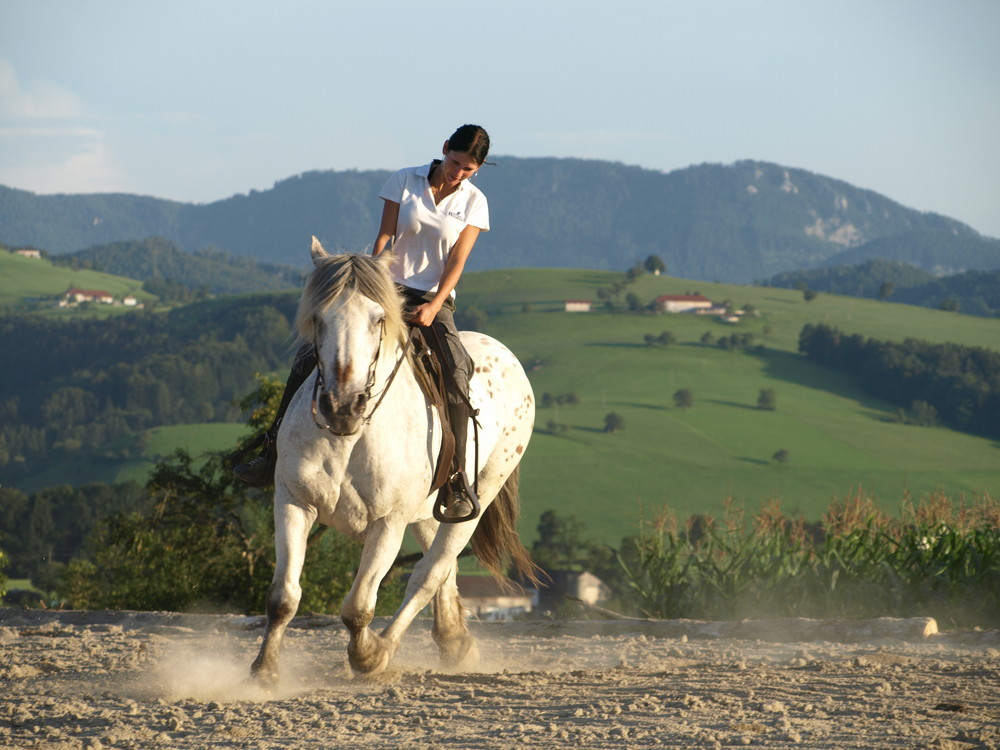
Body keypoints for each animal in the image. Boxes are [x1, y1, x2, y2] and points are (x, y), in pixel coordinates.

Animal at [250, 238, 540, 684]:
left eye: (378, 319)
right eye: (318, 317)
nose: (342, 406)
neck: (351, 437)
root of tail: (505, 353)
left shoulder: (387, 523)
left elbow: (358, 608)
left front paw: (369, 656)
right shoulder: (293, 502)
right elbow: (283, 597)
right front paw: (264, 671)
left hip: (477, 498)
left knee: (429, 573)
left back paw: (395, 644)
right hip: (430, 511)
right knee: (444, 572)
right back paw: (455, 641)